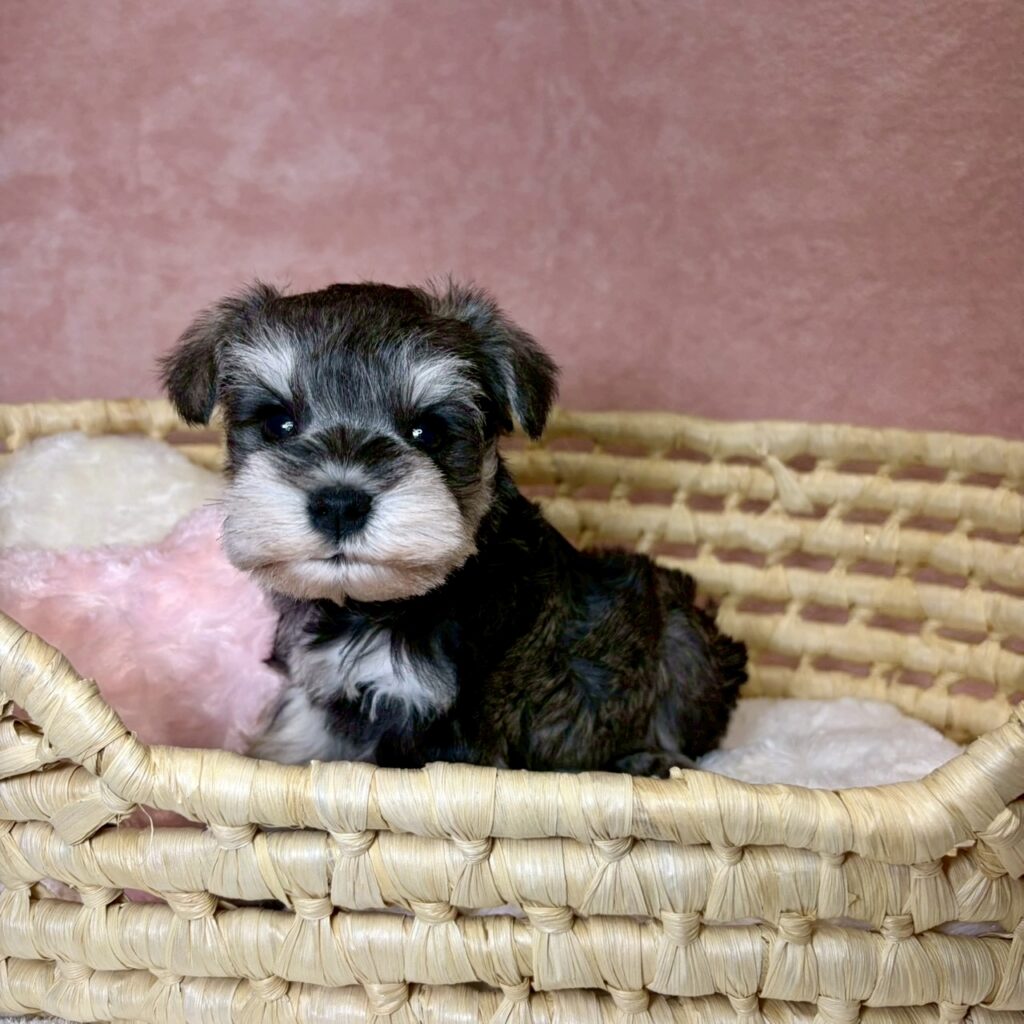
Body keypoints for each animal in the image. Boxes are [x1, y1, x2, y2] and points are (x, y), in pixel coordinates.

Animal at [161, 280, 746, 775]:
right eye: (278, 422)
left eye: (428, 432)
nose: (339, 503)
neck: (370, 608)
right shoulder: (317, 691)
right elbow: (292, 743)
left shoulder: (439, 728)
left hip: (684, 638)